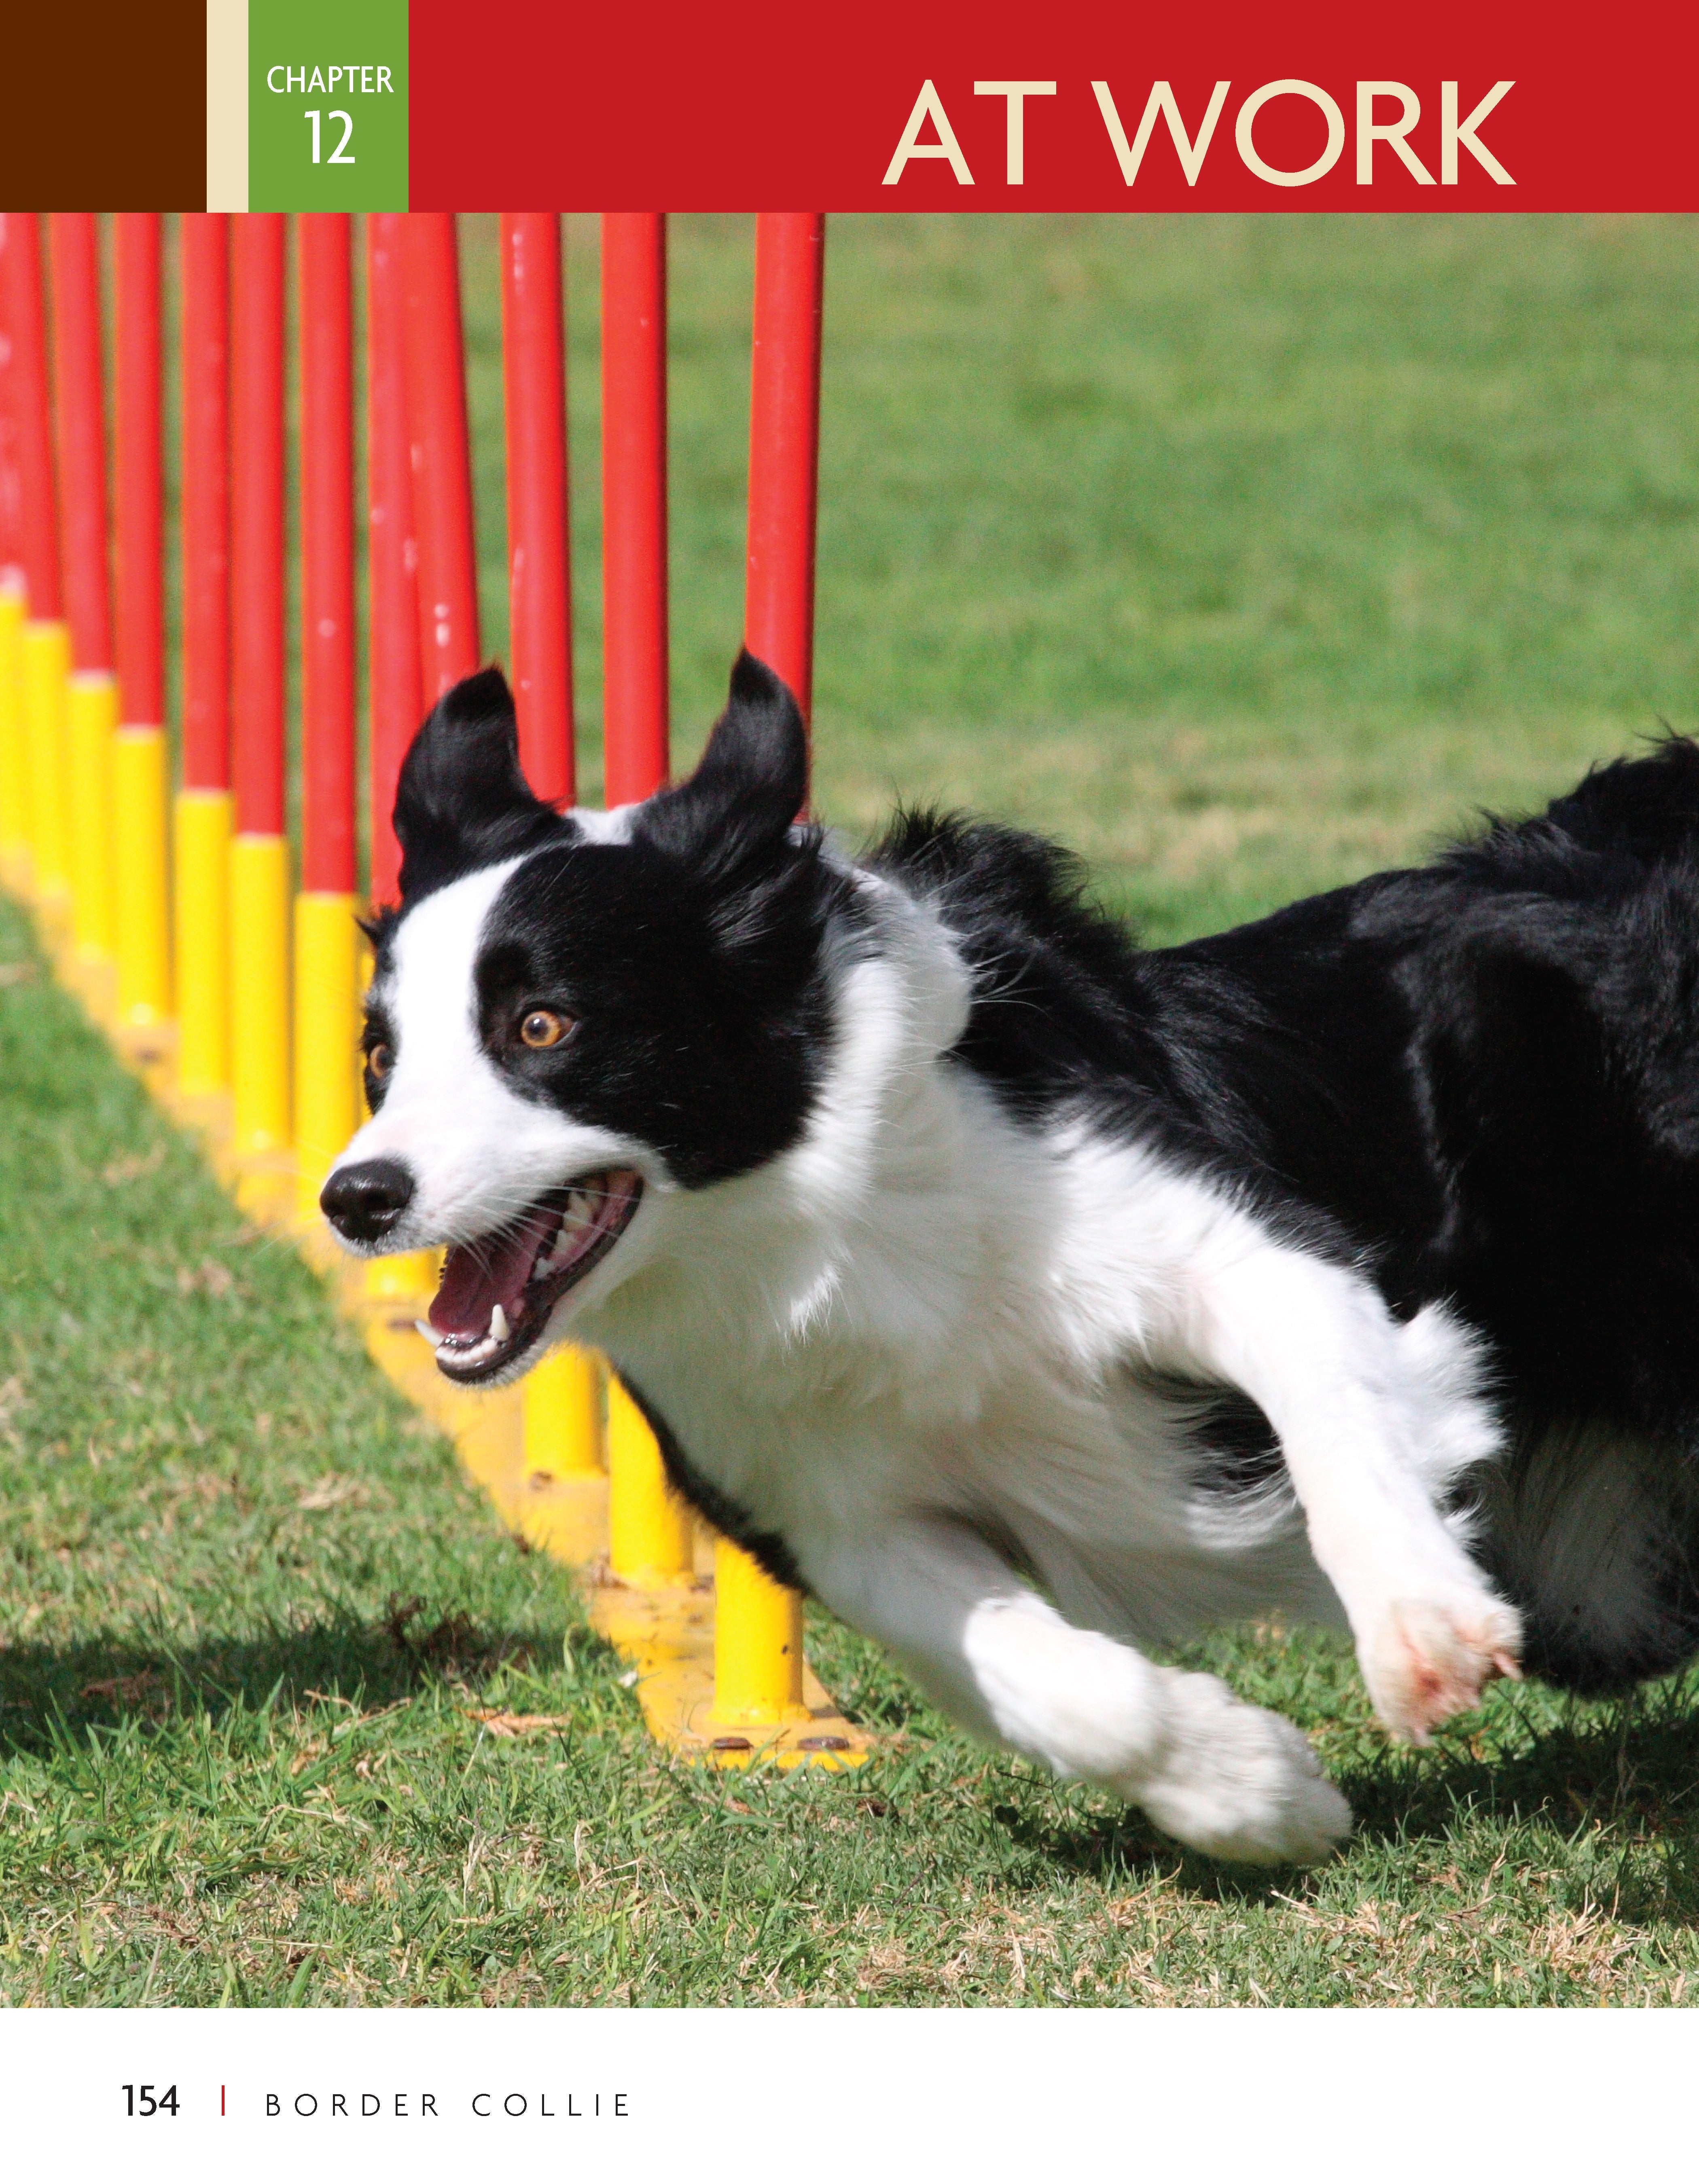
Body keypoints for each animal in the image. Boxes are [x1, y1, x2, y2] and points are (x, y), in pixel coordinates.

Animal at [321, 651, 1699, 1860]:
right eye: (379, 1052)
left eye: (542, 1026)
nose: (356, 1199)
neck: (815, 1219)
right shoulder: (837, 1519)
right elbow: (1064, 1689)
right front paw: (1251, 1794)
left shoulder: (1240, 1247)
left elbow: (1335, 1418)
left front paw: (1420, 1629)